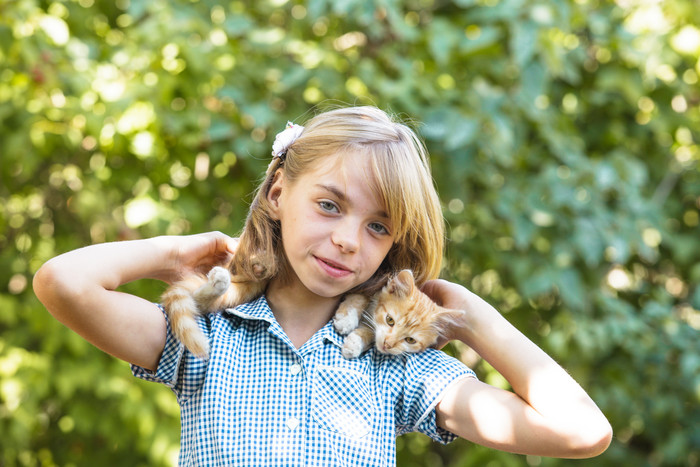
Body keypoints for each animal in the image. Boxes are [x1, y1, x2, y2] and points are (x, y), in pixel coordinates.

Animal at [334, 268, 464, 360]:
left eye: (410, 340)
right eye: (390, 320)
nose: (388, 345)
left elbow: (372, 332)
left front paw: (354, 343)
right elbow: (360, 297)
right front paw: (346, 319)